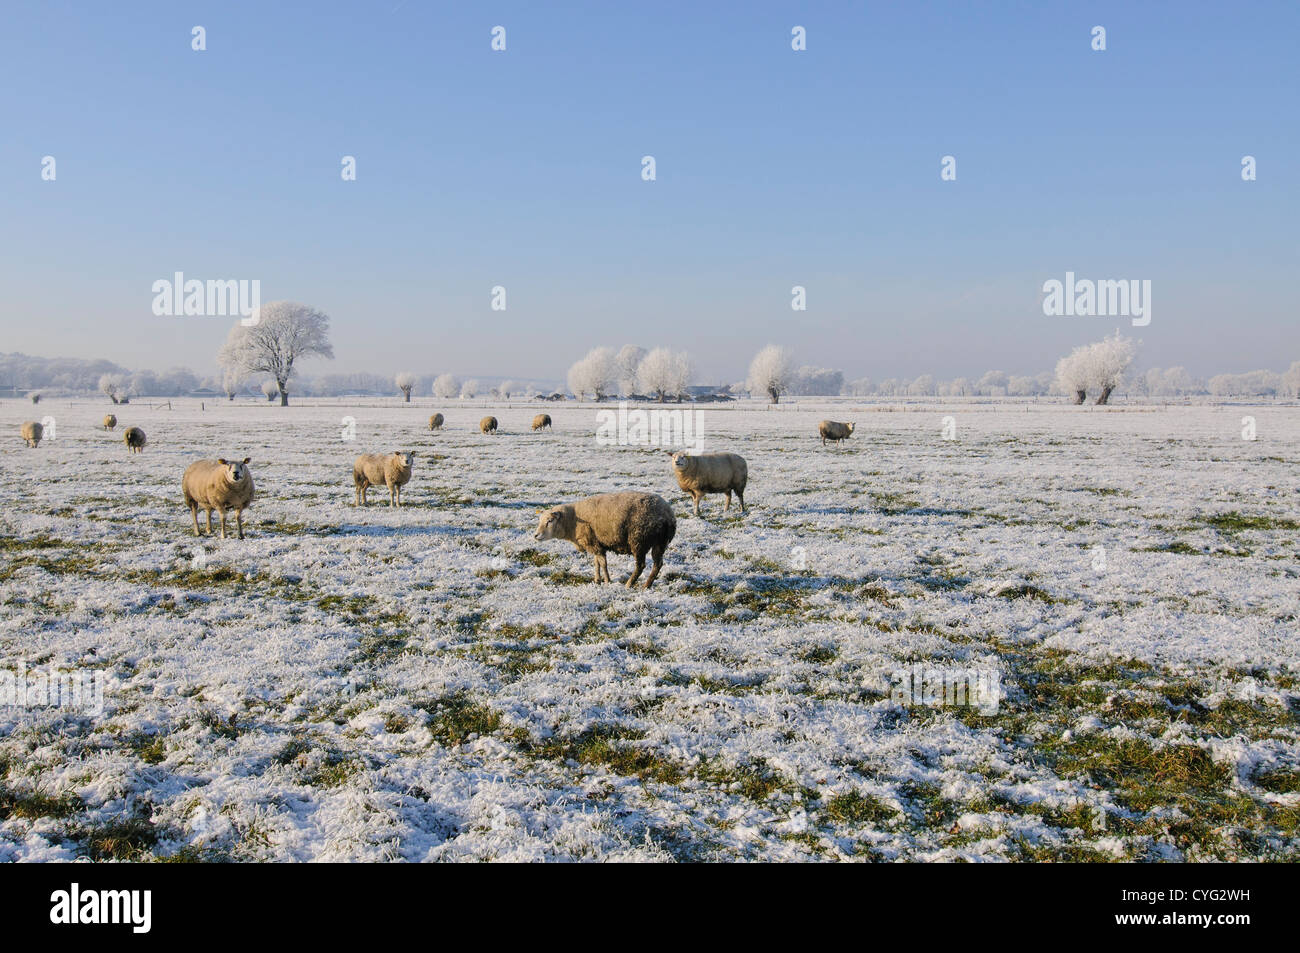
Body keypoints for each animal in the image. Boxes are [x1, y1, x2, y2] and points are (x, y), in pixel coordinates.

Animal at [535, 491, 681, 587]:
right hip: (660, 543)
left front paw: (607, 581)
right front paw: (597, 580)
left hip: (638, 541)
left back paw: (629, 584)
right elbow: (597, 563)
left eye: (550, 521)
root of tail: (667, 515)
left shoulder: (594, 544)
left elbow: (603, 564)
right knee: (657, 564)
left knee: (641, 565)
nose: (535, 535)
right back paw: (647, 585)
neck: (572, 520)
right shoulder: (595, 543)